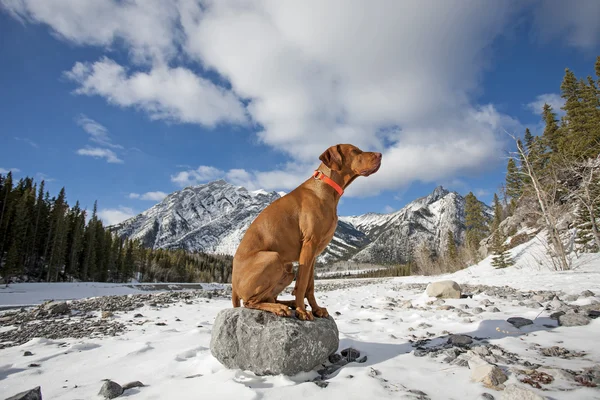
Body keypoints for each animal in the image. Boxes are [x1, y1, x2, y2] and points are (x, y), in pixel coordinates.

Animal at [230, 144, 380, 322]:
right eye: (355, 151)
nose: (380, 154)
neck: (327, 188)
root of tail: (233, 285)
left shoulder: (314, 253)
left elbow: (310, 286)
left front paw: (316, 309)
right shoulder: (309, 244)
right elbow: (301, 284)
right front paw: (302, 311)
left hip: (287, 268)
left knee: (268, 297)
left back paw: (289, 303)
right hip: (274, 258)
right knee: (250, 302)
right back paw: (281, 308)